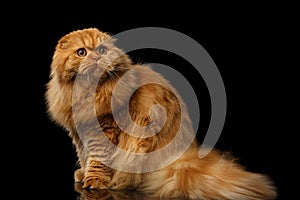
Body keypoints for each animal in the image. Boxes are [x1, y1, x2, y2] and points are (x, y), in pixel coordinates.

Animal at [45, 28, 278, 200]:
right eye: (82, 52)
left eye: (102, 50)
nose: (95, 58)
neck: (86, 93)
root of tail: (181, 158)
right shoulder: (79, 132)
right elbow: (85, 157)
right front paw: (82, 174)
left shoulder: (104, 130)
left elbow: (98, 160)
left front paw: (94, 182)